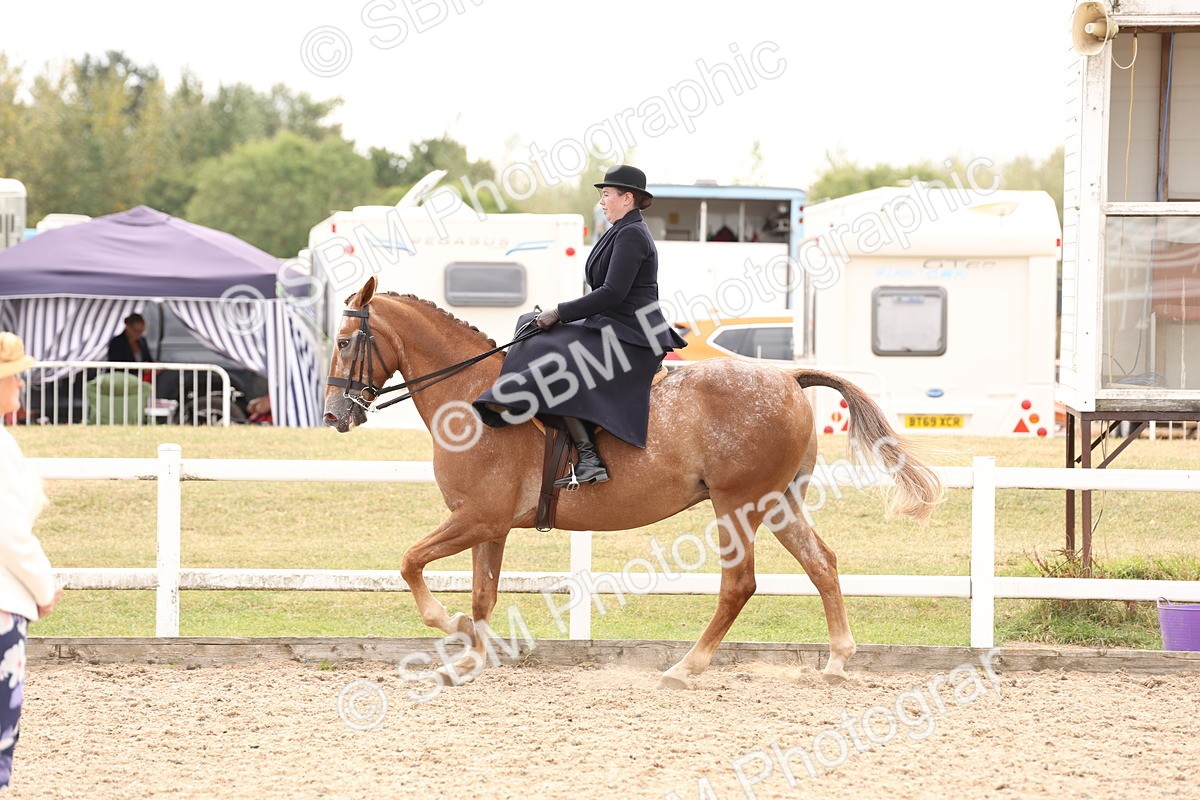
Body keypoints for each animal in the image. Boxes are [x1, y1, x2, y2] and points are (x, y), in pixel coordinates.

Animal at [323, 277, 943, 688]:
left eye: (346, 342)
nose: (333, 416)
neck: (470, 396)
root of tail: (788, 376)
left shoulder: (478, 516)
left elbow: (410, 562)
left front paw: (446, 625)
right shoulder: (489, 525)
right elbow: (481, 593)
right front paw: (472, 657)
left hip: (736, 504)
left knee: (739, 584)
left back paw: (686, 668)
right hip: (779, 502)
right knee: (822, 565)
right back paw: (836, 661)